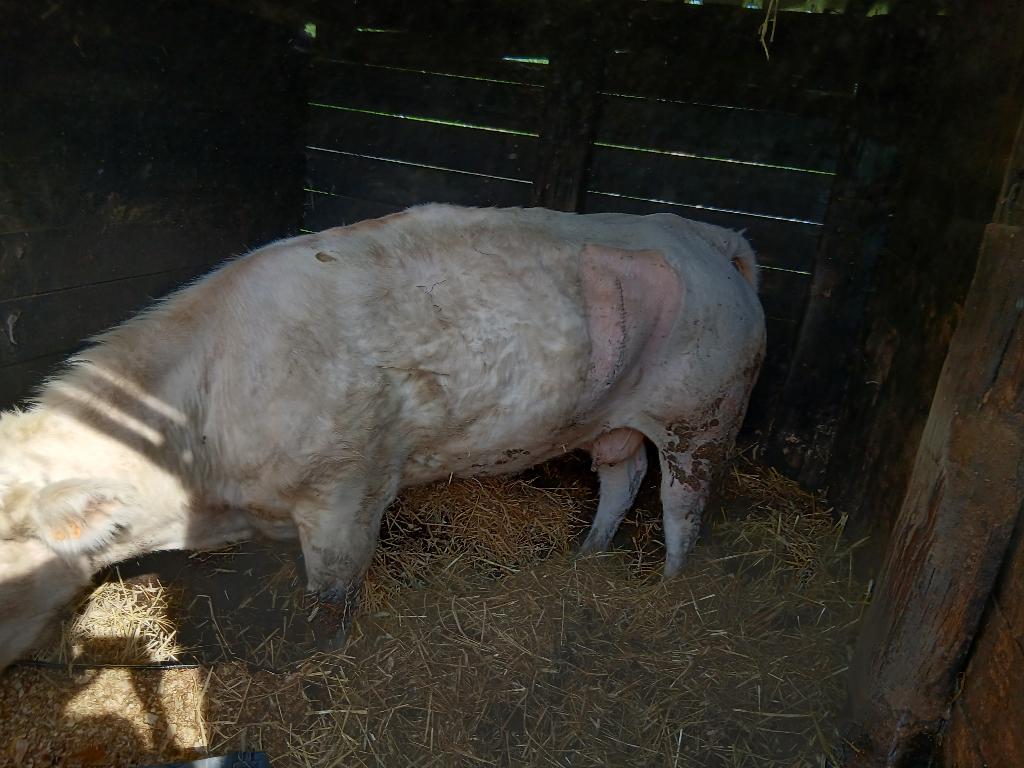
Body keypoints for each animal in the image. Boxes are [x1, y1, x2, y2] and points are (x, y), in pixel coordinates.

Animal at [0, 204, 765, 670]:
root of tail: (705, 237)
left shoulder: (348, 492)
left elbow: (332, 599)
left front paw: (321, 662)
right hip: (613, 418)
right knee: (621, 475)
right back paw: (589, 554)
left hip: (704, 416)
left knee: (681, 509)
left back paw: (667, 587)